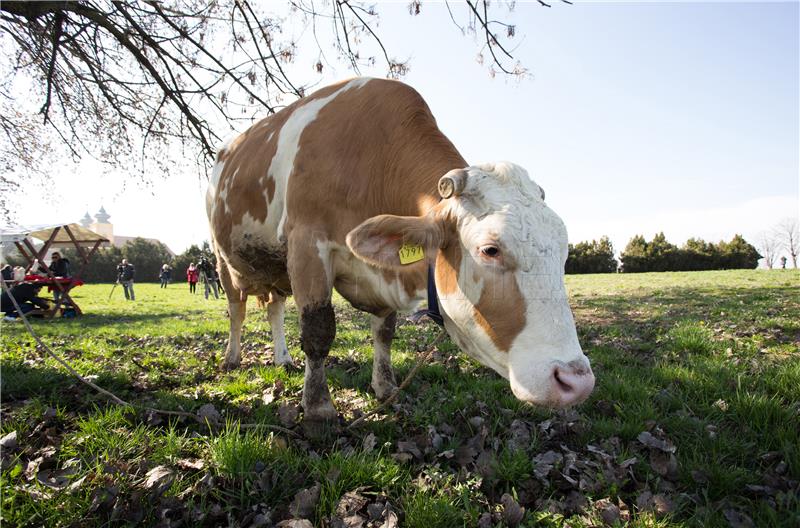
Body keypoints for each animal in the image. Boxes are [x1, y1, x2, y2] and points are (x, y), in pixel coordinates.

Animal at [206, 76, 592, 422]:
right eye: (489, 250)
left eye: (563, 252)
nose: (575, 381)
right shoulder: (307, 244)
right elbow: (318, 330)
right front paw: (318, 408)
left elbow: (385, 332)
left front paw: (385, 387)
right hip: (223, 260)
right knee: (237, 310)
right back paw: (232, 357)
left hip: (275, 270)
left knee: (274, 308)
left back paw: (283, 358)